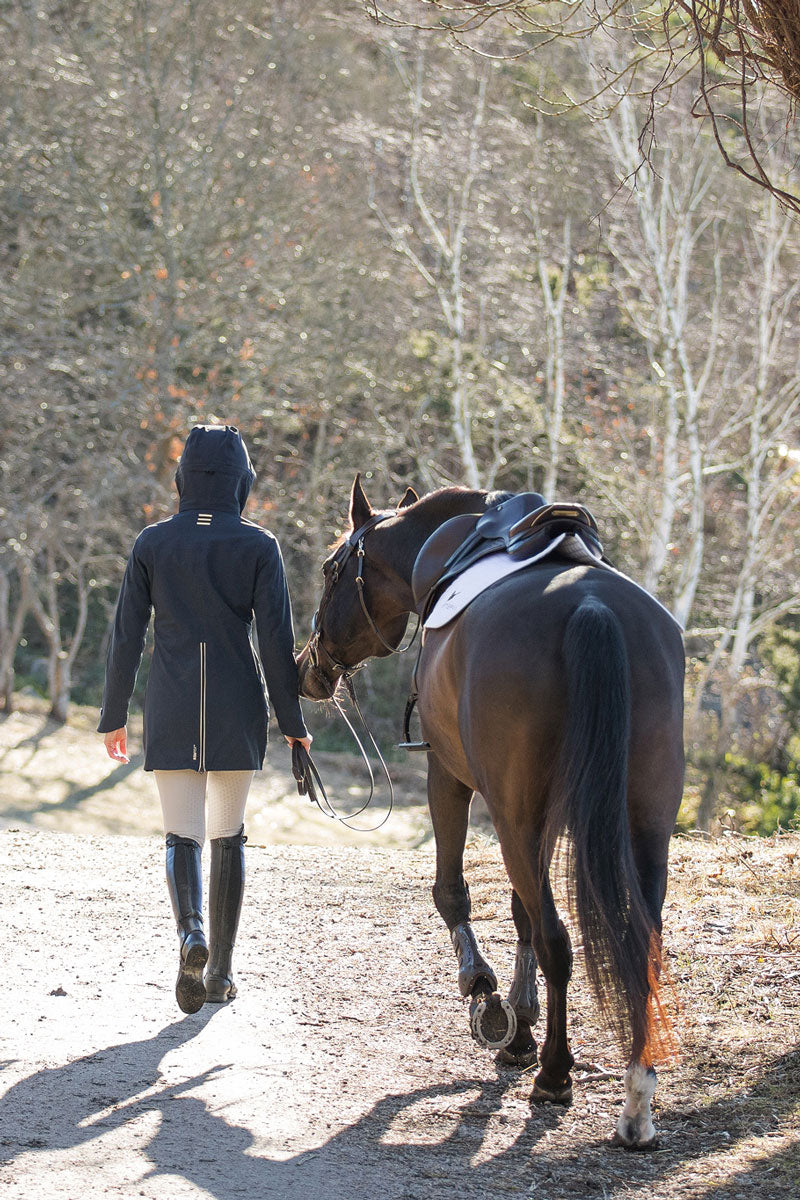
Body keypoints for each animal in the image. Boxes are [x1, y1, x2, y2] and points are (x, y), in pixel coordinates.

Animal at [297, 472, 686, 1147]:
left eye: (329, 568)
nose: (308, 668)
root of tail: (592, 609)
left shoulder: (450, 780)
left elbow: (454, 893)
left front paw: (486, 996)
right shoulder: (537, 817)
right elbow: (521, 911)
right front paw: (522, 1028)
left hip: (512, 816)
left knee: (560, 941)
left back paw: (556, 1075)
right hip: (642, 828)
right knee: (639, 943)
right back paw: (636, 1101)